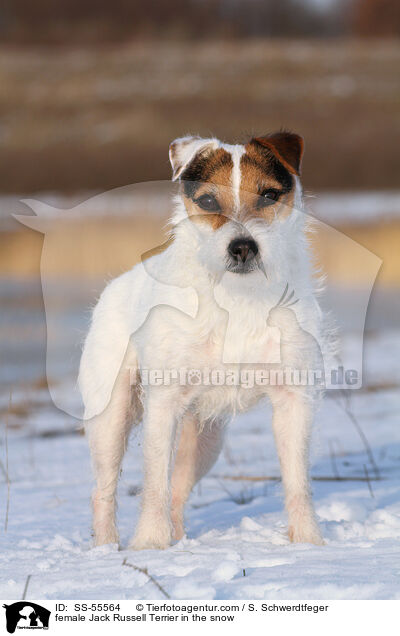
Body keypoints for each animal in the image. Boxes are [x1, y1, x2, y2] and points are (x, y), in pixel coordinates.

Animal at [79, 132, 328, 548]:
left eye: (269, 195)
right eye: (209, 201)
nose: (243, 247)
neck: (238, 297)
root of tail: (115, 285)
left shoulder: (293, 400)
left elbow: (298, 482)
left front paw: (309, 544)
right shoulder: (163, 404)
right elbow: (154, 484)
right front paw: (149, 544)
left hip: (205, 439)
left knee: (179, 490)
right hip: (110, 418)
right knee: (104, 489)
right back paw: (106, 548)